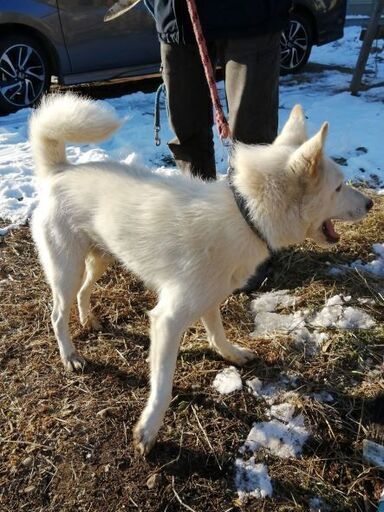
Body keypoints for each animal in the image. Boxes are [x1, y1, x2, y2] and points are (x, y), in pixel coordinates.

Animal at [30, 94, 372, 454]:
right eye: (339, 187)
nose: (371, 204)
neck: (245, 215)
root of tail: (59, 171)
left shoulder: (210, 296)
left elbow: (217, 333)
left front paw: (232, 355)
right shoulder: (167, 320)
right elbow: (163, 385)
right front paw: (148, 429)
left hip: (101, 259)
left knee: (84, 291)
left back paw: (89, 320)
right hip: (66, 270)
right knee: (57, 314)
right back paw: (70, 356)